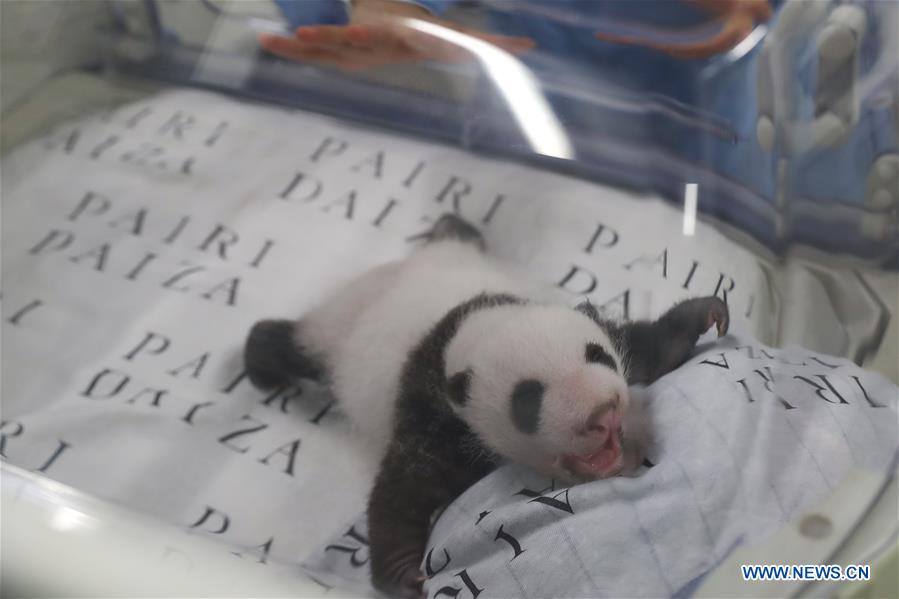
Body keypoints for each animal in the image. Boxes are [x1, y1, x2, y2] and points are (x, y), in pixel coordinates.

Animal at [244, 214, 729, 599]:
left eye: (598, 357)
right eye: (528, 399)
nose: (601, 412)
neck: (470, 325)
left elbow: (648, 348)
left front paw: (706, 314)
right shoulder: (433, 411)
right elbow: (402, 489)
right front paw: (404, 575)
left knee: (459, 233)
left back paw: (454, 222)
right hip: (334, 336)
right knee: (293, 346)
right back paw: (261, 362)